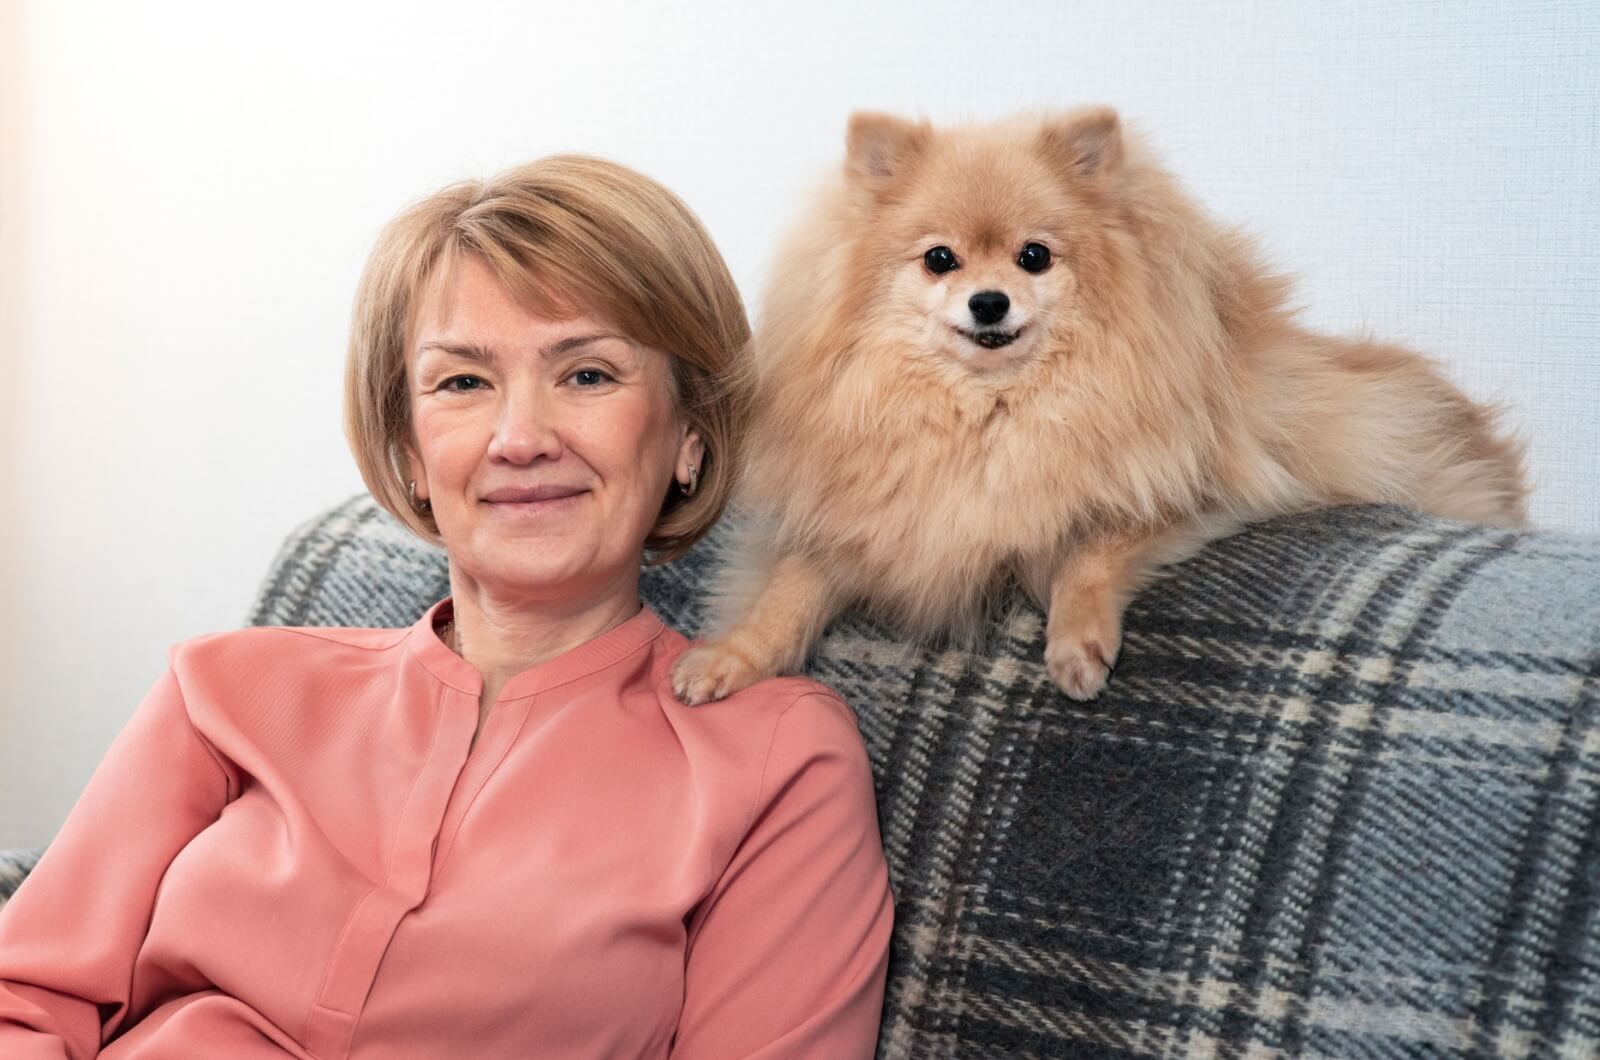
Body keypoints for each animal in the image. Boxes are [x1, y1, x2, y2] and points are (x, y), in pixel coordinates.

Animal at [668, 108, 1529, 704]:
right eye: (940, 259)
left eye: (1034, 257)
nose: (989, 301)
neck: (991, 416)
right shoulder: (868, 522)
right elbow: (785, 594)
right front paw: (731, 658)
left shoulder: (1184, 491)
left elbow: (1090, 553)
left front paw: (1076, 647)